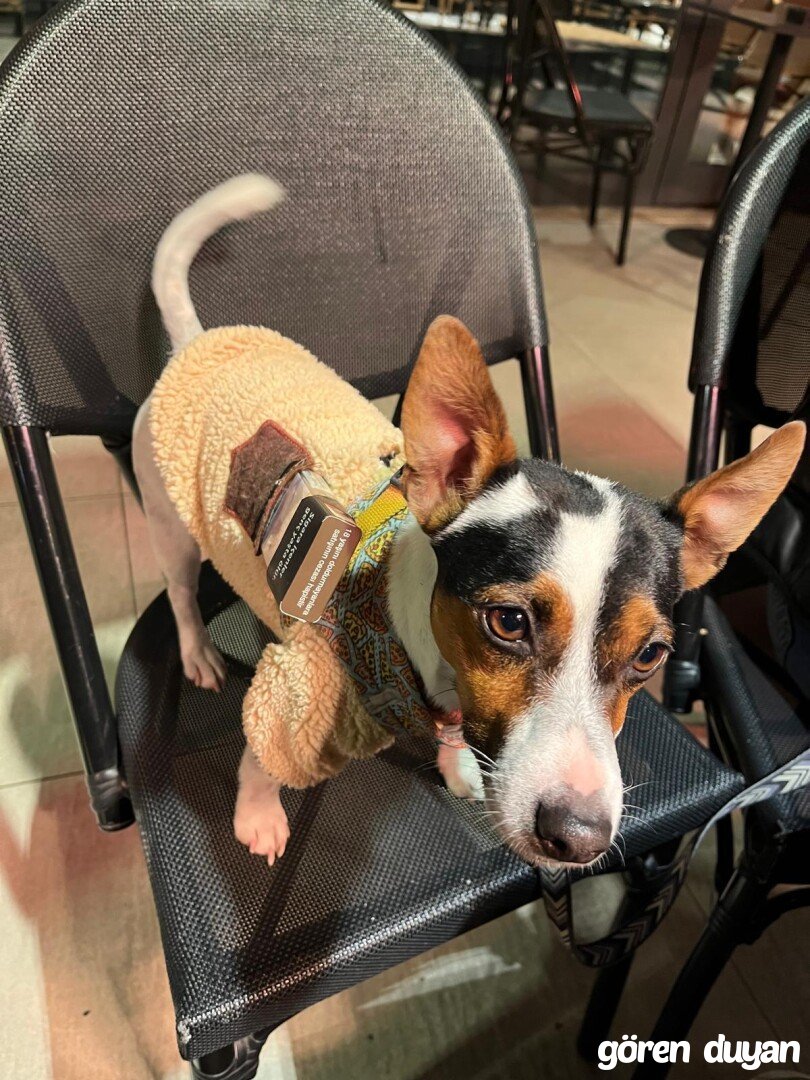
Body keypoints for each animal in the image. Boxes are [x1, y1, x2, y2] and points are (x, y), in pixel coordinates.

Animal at [133, 175, 805, 870]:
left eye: (651, 656)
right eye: (508, 622)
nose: (579, 839)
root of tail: (198, 343)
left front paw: (457, 766)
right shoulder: (295, 697)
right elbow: (262, 762)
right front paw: (258, 816)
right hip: (169, 521)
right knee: (180, 594)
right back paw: (198, 651)